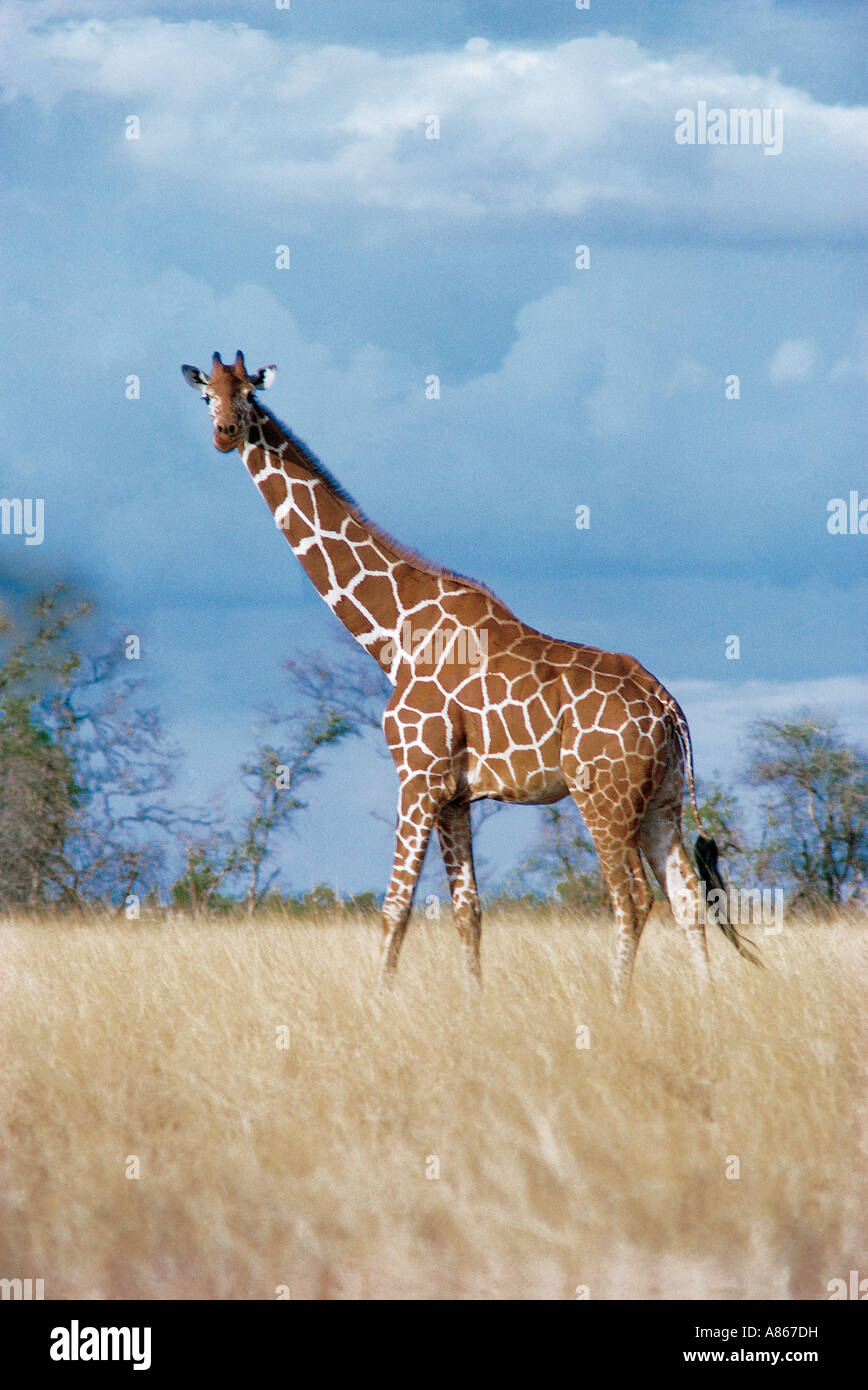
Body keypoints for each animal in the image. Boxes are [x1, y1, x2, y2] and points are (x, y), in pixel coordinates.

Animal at [182, 351, 760, 999]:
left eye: (249, 397)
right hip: (663, 797)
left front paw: (379, 1003)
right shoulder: (456, 795)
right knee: (686, 896)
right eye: (207, 396)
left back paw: (618, 1004)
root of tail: (667, 706)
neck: (393, 635)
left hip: (603, 795)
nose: (225, 433)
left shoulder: (417, 776)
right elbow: (468, 912)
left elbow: (395, 908)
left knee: (632, 898)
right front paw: (474, 1000)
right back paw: (705, 1003)